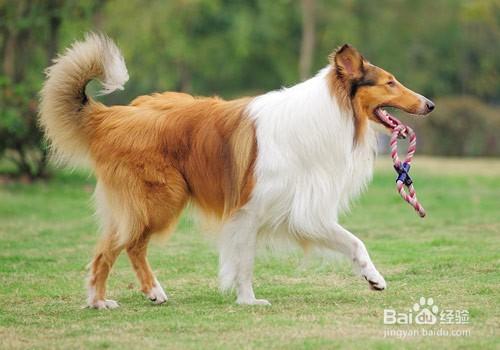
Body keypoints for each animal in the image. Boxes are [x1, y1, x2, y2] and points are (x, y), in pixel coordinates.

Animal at [39, 32, 434, 306]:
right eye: (390, 82)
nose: (430, 104)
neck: (329, 114)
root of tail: (113, 116)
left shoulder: (302, 211)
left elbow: (354, 242)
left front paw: (374, 277)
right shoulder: (248, 211)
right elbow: (244, 262)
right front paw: (248, 300)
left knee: (120, 246)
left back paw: (136, 294)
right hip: (160, 199)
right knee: (119, 247)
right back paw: (112, 299)